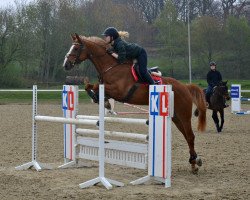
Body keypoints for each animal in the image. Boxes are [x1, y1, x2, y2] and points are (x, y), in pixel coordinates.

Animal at [63, 33, 207, 173]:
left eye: (76, 48)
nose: (66, 65)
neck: (111, 67)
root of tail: (185, 86)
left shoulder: (119, 91)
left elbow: (96, 86)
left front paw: (104, 102)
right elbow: (90, 86)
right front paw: (101, 101)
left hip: (184, 115)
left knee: (190, 136)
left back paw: (195, 163)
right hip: (176, 117)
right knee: (186, 136)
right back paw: (194, 162)